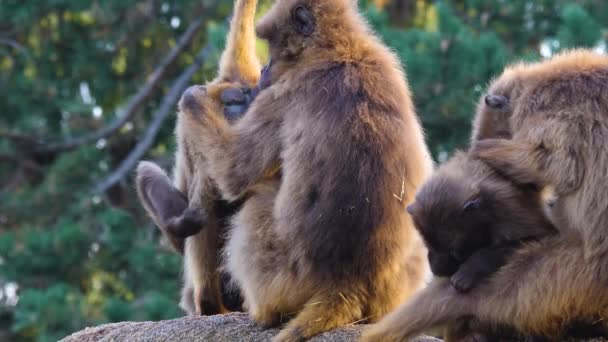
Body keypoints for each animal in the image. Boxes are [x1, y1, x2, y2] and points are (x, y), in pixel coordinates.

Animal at [408, 151, 556, 292]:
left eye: (456, 253)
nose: (458, 258)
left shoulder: (505, 206)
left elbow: (535, 239)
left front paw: (474, 266)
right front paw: (441, 264)